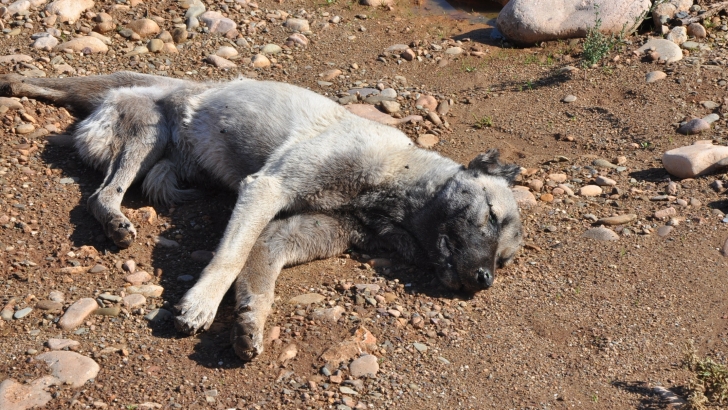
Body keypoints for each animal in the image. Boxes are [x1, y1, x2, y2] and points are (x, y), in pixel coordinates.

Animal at [0, 72, 524, 360]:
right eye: (491, 216)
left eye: (505, 260)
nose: (484, 280)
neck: (393, 191)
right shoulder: (266, 188)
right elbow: (230, 257)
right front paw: (201, 304)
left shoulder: (281, 234)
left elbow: (257, 277)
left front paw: (249, 323)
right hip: (144, 124)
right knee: (98, 183)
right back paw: (18, 82)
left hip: (151, 146)